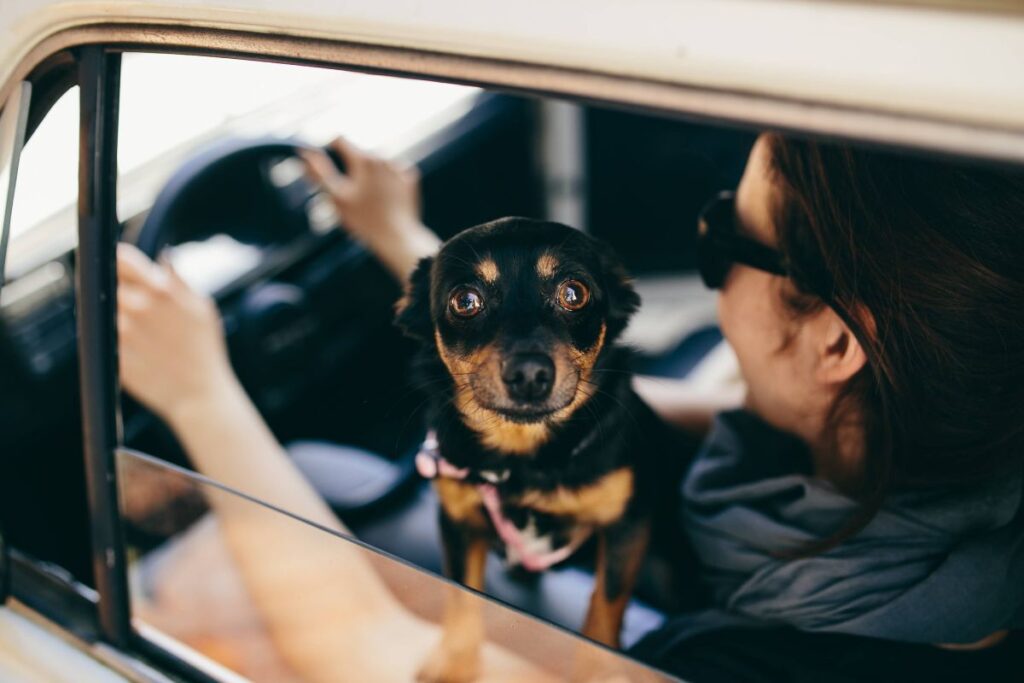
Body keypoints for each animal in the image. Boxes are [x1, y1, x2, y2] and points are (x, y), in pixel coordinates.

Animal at [397, 216, 679, 679]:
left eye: (573, 293)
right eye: (465, 301)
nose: (529, 373)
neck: (524, 459)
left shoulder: (628, 524)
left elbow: (604, 607)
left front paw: (597, 671)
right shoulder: (458, 522)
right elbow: (460, 596)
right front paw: (455, 662)